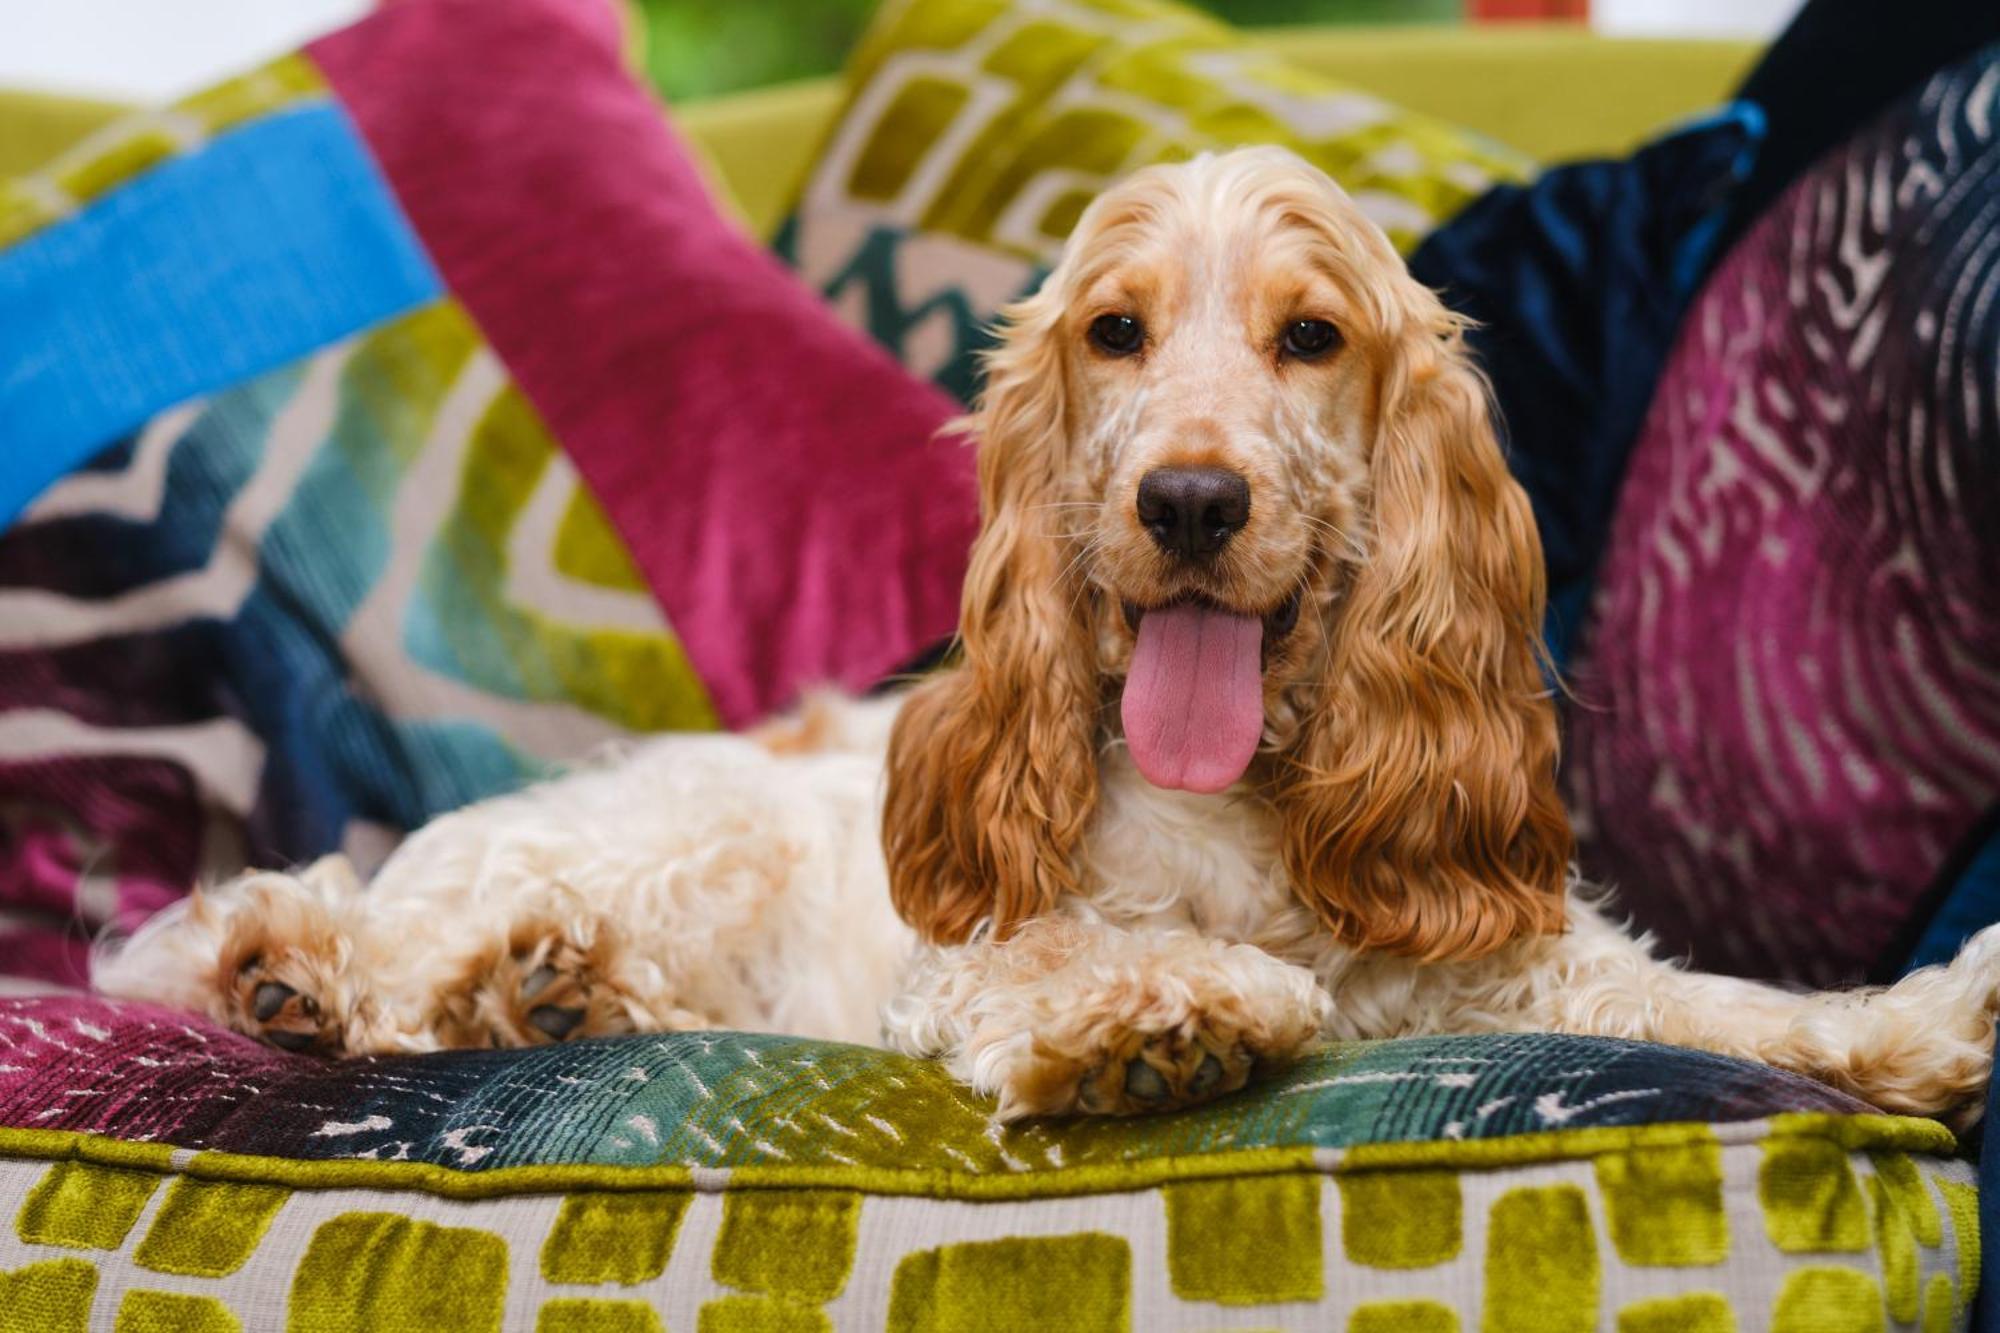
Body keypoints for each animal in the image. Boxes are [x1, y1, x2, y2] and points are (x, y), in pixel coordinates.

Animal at [97, 145, 2000, 1120]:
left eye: (1312, 335)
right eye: (1116, 330)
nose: (1191, 502)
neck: (1254, 795)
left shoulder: (1513, 958)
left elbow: (1722, 1005)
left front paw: (1927, 1022)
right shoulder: (968, 953)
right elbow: (1103, 964)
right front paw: (1171, 1016)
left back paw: (536, 991)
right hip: (671, 841)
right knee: (343, 947)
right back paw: (343, 972)